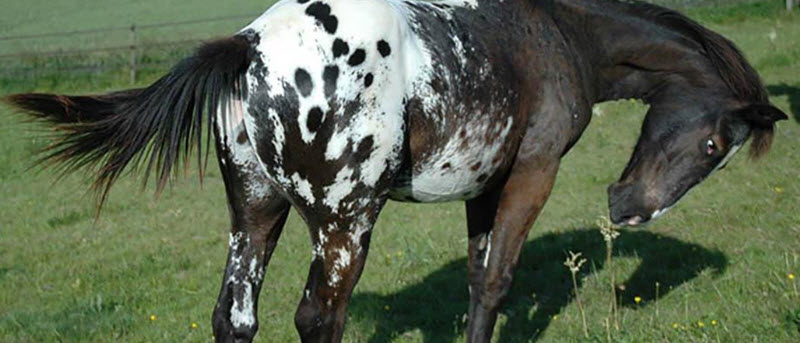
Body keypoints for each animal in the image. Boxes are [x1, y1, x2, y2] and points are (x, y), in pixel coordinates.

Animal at [4, 0, 788, 342]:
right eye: (714, 147)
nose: (628, 208)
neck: (559, 30)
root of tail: (249, 46)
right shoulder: (531, 175)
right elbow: (498, 281)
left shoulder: (483, 185)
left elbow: (477, 282)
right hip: (346, 222)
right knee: (317, 317)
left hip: (255, 212)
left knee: (236, 318)